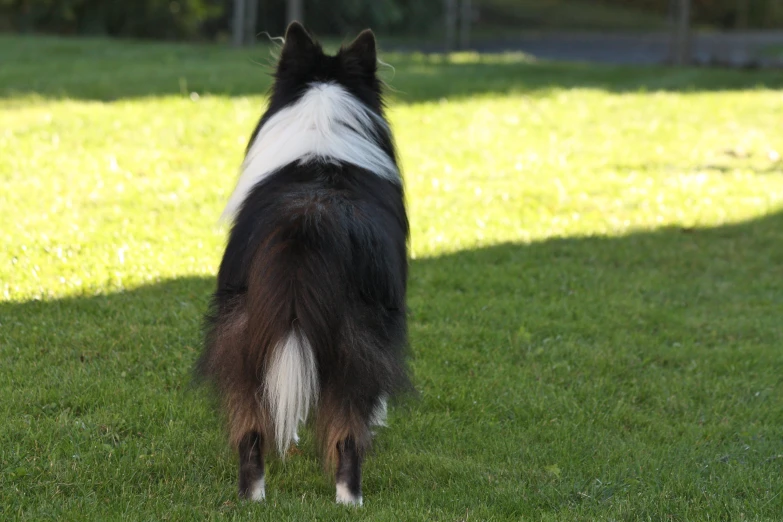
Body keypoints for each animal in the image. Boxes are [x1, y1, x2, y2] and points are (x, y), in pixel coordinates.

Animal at [196, 21, 410, 504]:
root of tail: (306, 221)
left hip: (243, 332)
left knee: (251, 428)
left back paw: (252, 496)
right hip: (358, 336)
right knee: (348, 433)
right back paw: (351, 499)